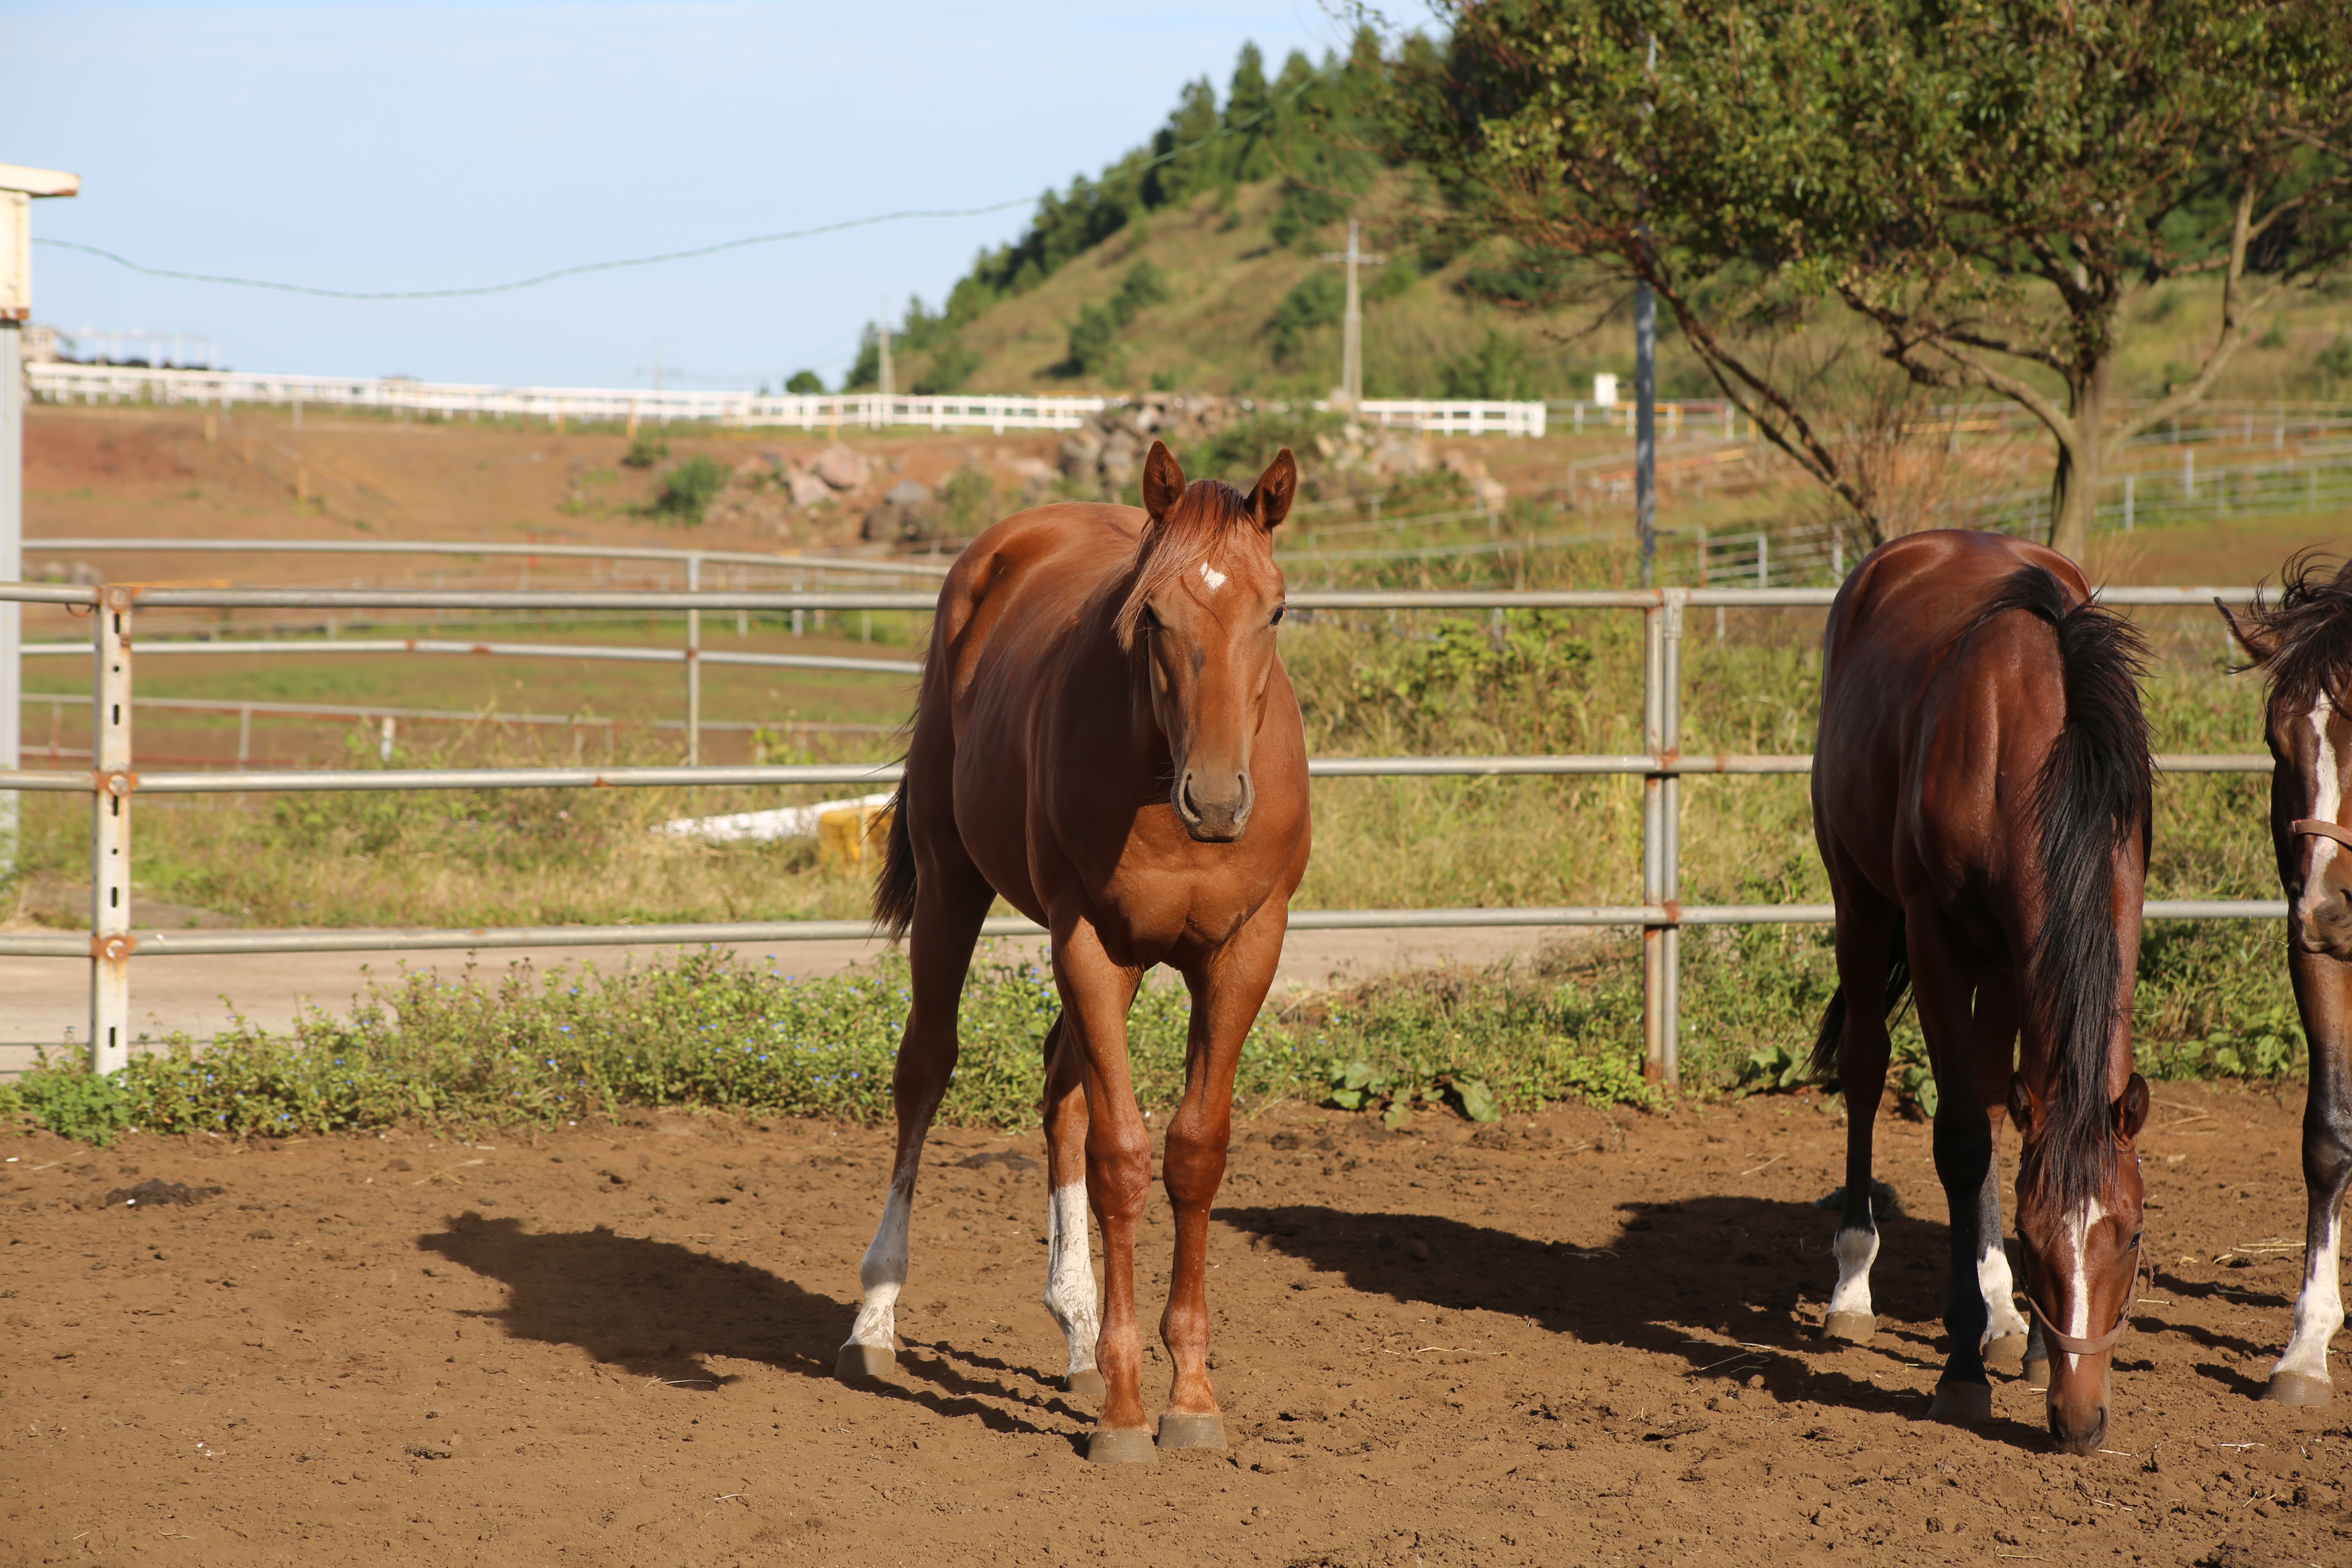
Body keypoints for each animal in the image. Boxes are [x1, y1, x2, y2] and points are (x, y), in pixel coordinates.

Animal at [833, 439, 1317, 1457]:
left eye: (1277, 609)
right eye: (1153, 613)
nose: (1218, 799)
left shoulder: (1245, 953)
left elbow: (1193, 1151)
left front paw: (1190, 1396)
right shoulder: (1088, 940)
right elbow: (1123, 1157)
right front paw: (1130, 1412)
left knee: (1061, 1093)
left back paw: (1079, 1332)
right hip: (955, 886)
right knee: (926, 1067)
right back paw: (876, 1322)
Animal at [1806, 533, 2154, 1457]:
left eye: (2132, 1234)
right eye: (2036, 1240)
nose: (2081, 1421)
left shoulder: (2070, 927)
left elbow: (2009, 1120)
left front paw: (2022, 1341)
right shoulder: (1936, 939)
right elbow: (1961, 1140)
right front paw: (1962, 1368)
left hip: (2001, 965)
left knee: (2003, 1105)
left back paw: (2001, 1313)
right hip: (1860, 902)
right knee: (1865, 1067)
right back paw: (1853, 1281)